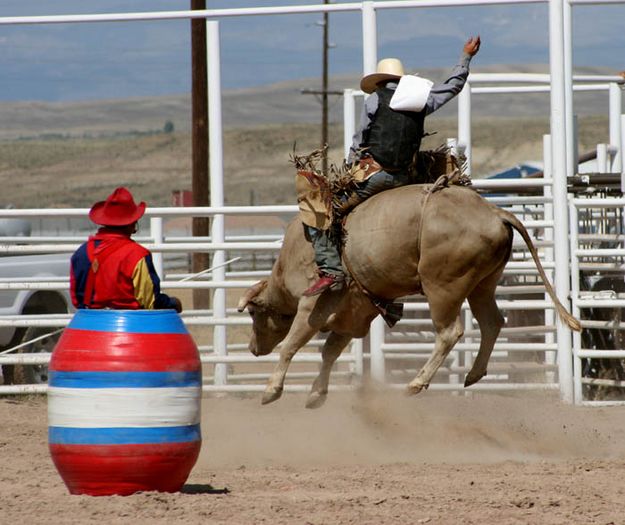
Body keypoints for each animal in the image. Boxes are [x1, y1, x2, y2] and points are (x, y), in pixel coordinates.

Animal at [235, 182, 580, 408]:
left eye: (252, 313)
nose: (253, 348)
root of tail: (493, 211)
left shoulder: (313, 304)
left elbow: (291, 346)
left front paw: (271, 390)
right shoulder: (351, 314)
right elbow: (329, 352)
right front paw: (316, 394)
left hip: (443, 286)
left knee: (450, 331)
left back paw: (416, 383)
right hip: (484, 283)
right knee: (492, 321)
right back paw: (473, 373)